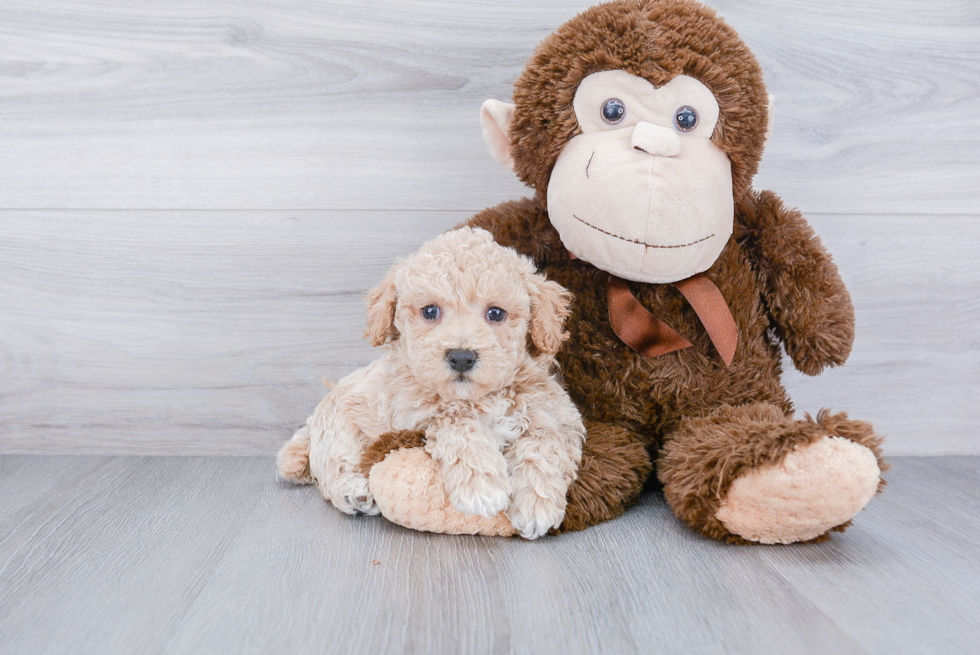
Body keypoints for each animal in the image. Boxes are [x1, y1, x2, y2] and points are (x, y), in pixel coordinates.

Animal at [274, 228, 580, 540]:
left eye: (496, 313)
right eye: (430, 311)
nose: (461, 357)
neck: (478, 397)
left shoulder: (555, 415)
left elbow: (541, 446)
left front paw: (537, 505)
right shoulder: (416, 414)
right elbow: (460, 426)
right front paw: (481, 486)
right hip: (340, 429)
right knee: (331, 467)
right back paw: (353, 495)